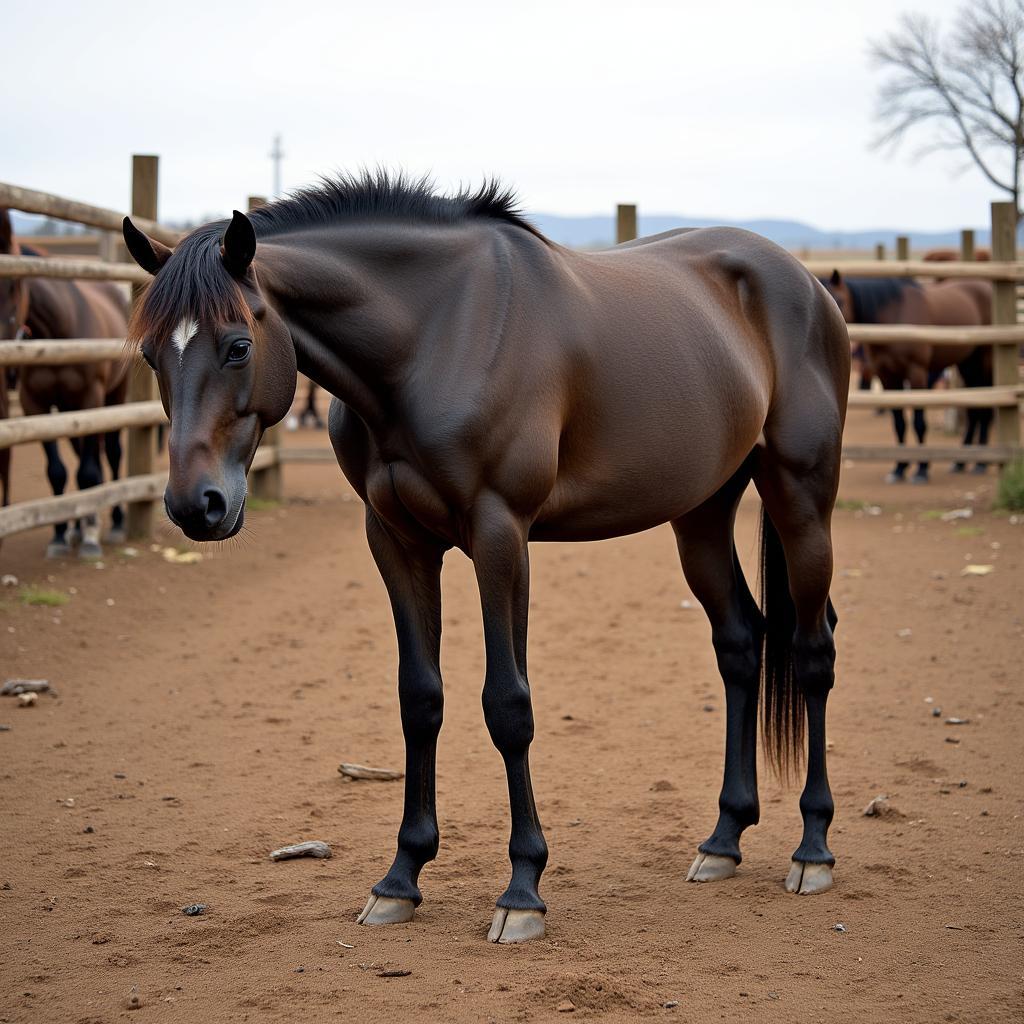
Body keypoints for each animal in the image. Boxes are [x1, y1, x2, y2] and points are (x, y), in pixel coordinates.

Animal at [0, 209, 132, 561]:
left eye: (12, 284)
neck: (59, 329)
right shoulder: (36, 406)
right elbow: (58, 471)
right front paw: (60, 534)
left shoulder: (90, 400)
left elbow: (89, 471)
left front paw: (91, 535)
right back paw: (76, 525)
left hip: (114, 398)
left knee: (111, 455)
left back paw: (115, 521)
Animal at [121, 174, 847, 942]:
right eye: (152, 356)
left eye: (236, 346)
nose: (195, 506)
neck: (435, 334)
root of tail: (804, 280)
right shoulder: (396, 540)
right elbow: (420, 699)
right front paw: (401, 878)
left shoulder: (500, 536)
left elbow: (508, 704)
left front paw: (522, 887)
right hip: (702, 513)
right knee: (740, 642)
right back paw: (724, 839)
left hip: (801, 496)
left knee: (813, 650)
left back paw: (813, 848)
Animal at [819, 270, 987, 481]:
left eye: (839, 300)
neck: (894, 315)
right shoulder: (887, 376)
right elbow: (899, 423)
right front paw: (899, 469)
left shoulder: (917, 373)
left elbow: (919, 422)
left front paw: (922, 469)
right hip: (968, 364)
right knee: (975, 410)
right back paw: (961, 462)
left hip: (983, 360)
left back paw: (981, 463)